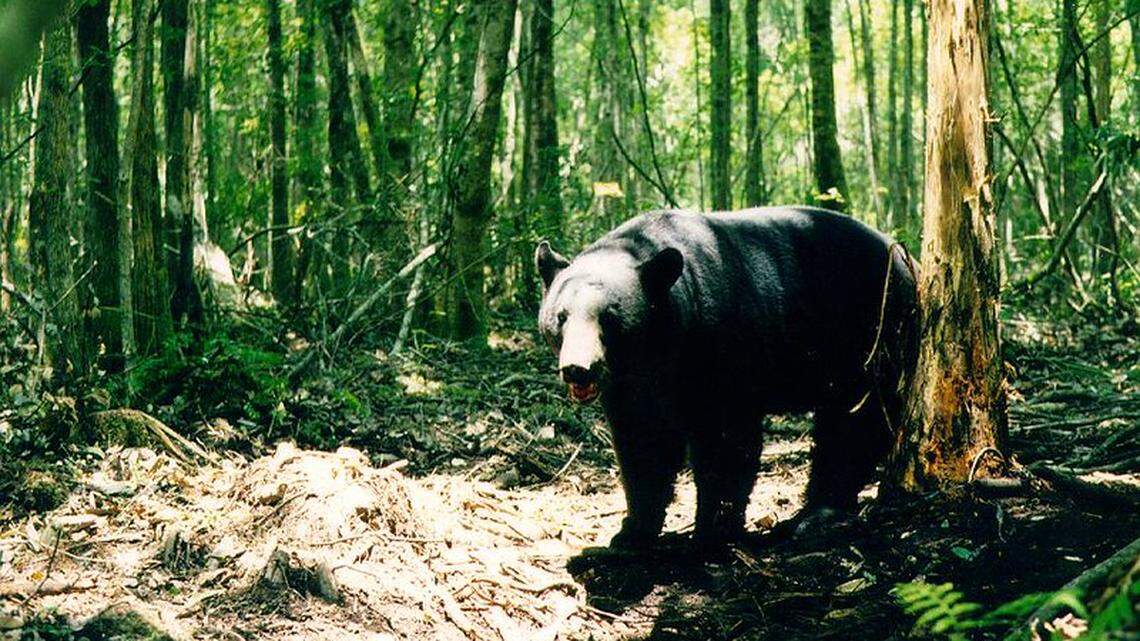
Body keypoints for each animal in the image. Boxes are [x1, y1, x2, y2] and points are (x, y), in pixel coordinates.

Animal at [535, 207, 918, 548]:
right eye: (561, 316)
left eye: (609, 316)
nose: (578, 368)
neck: (658, 347)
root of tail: (906, 260)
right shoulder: (632, 384)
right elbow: (643, 443)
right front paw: (632, 533)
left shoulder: (722, 351)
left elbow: (725, 442)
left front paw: (712, 533)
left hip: (872, 336)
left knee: (854, 425)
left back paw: (816, 515)